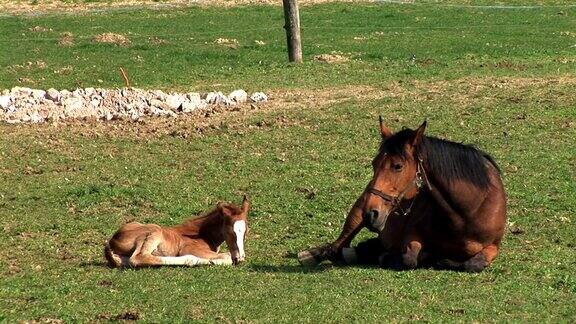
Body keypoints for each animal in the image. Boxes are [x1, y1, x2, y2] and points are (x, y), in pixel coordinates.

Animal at [104, 195, 249, 268]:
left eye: (246, 231)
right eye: (230, 231)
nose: (240, 258)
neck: (202, 233)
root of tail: (112, 240)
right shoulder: (190, 248)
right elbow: (226, 256)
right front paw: (214, 261)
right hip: (154, 230)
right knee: (139, 258)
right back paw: (192, 260)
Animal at [300, 118, 506, 270]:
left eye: (398, 166)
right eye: (374, 164)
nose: (371, 213)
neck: (465, 214)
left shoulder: (494, 245)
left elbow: (473, 264)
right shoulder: (411, 234)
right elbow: (409, 258)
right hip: (356, 216)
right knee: (337, 247)